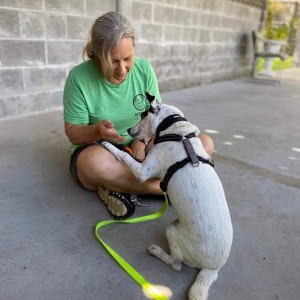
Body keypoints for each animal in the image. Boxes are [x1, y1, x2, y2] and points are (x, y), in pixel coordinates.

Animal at [102, 92, 233, 298]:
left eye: (142, 115)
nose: (129, 129)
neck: (178, 132)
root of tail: (212, 268)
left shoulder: (143, 171)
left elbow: (124, 156)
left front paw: (109, 144)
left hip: (172, 230)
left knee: (176, 265)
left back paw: (157, 251)